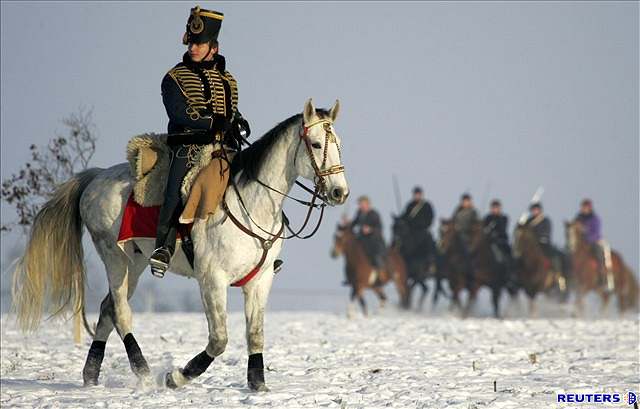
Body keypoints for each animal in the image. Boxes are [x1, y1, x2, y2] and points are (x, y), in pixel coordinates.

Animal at [11, 98, 350, 388]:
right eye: (316, 144)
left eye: (338, 145)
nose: (339, 192)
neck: (251, 205)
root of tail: (95, 177)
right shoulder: (212, 280)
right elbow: (219, 340)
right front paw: (176, 377)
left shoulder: (260, 281)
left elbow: (255, 335)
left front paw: (258, 386)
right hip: (115, 259)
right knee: (120, 312)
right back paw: (144, 372)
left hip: (135, 263)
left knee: (108, 309)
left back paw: (91, 375)